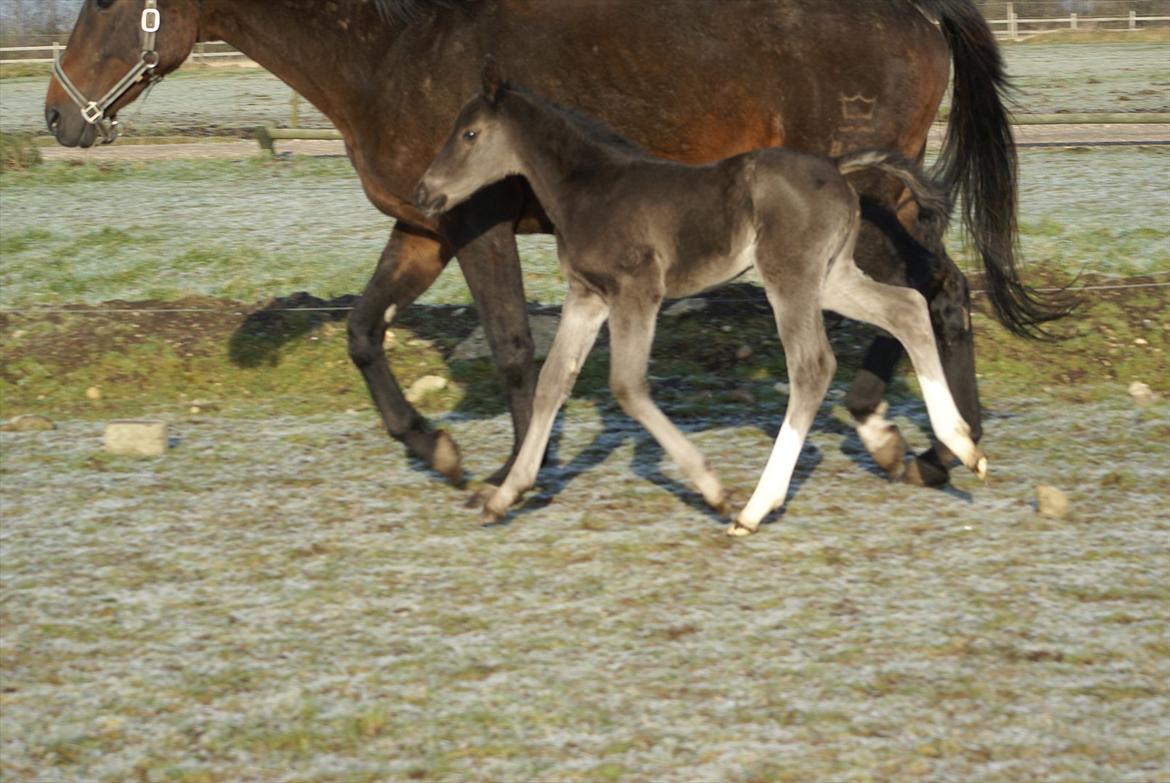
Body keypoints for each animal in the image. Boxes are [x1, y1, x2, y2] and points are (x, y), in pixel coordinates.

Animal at [416, 64, 982, 533]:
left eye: (469, 134)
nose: (424, 193)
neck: (591, 190)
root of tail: (838, 169)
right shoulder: (587, 295)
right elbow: (553, 382)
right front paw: (503, 496)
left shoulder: (637, 291)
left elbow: (627, 386)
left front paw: (714, 491)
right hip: (833, 276)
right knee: (907, 308)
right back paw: (963, 445)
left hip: (789, 277)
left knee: (812, 365)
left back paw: (754, 508)